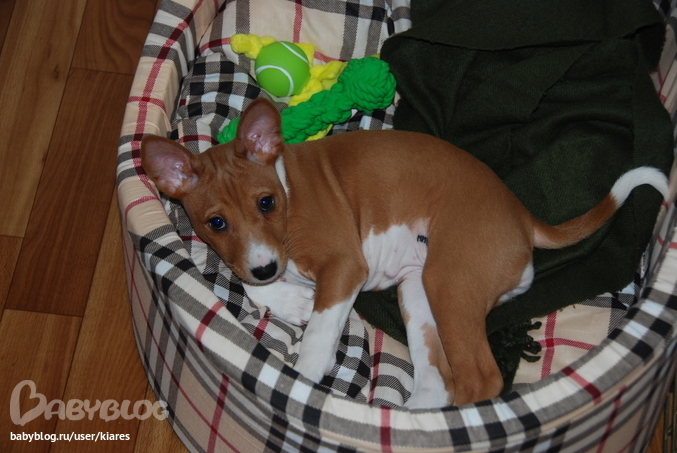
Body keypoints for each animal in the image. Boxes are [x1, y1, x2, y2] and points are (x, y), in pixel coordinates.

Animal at [141, 98, 668, 408]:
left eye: (265, 203)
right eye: (216, 224)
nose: (269, 267)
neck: (288, 188)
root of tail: (523, 217)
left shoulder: (344, 264)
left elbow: (317, 335)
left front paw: (303, 377)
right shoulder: (262, 264)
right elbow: (251, 286)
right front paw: (292, 300)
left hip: (448, 284)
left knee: (479, 381)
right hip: (418, 294)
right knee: (439, 383)